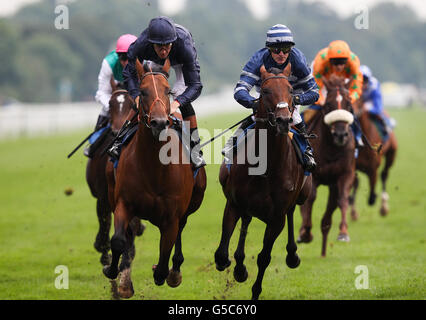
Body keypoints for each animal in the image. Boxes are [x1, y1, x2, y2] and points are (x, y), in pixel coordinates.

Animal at [85, 87, 145, 264]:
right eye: (110, 104)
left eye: (131, 104)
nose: (118, 131)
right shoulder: (103, 195)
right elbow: (105, 221)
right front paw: (104, 250)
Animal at [101, 58, 205, 298]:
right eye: (143, 91)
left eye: (168, 91)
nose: (159, 122)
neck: (154, 167)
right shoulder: (123, 203)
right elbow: (118, 240)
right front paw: (114, 273)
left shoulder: (172, 215)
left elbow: (166, 251)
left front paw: (164, 272)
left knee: (180, 231)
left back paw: (174, 271)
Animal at [215, 64, 312, 300]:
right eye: (266, 91)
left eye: (290, 90)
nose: (283, 120)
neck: (266, 166)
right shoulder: (234, 204)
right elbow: (222, 253)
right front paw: (234, 266)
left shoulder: (276, 218)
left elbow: (264, 257)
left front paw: (255, 290)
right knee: (246, 222)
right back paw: (240, 266)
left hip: (302, 194)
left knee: (292, 212)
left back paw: (292, 255)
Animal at [298, 75, 358, 258]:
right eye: (329, 105)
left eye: (348, 104)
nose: (340, 135)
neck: (332, 148)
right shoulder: (314, 176)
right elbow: (310, 199)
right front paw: (305, 232)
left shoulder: (345, 174)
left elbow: (343, 199)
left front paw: (344, 233)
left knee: (329, 214)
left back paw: (324, 250)